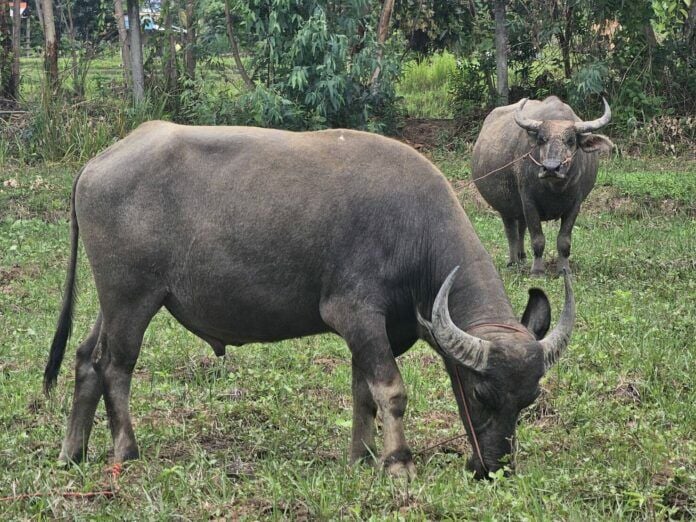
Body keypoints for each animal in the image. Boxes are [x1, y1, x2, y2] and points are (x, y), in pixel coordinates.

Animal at [44, 121, 576, 476]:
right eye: (482, 394)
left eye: (528, 400)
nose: (494, 467)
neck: (413, 231)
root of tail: (94, 165)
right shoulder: (356, 313)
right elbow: (391, 391)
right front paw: (398, 463)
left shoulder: (376, 331)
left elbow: (364, 392)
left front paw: (362, 456)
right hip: (131, 298)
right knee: (116, 366)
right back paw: (126, 450)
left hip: (114, 299)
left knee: (87, 358)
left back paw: (73, 452)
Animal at [470, 98, 612, 276]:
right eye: (542, 140)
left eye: (571, 141)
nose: (551, 168)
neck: (555, 188)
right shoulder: (529, 201)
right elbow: (537, 239)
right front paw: (537, 271)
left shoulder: (575, 205)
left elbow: (564, 241)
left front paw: (564, 269)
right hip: (505, 206)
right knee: (511, 232)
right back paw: (513, 261)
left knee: (521, 228)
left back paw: (522, 257)